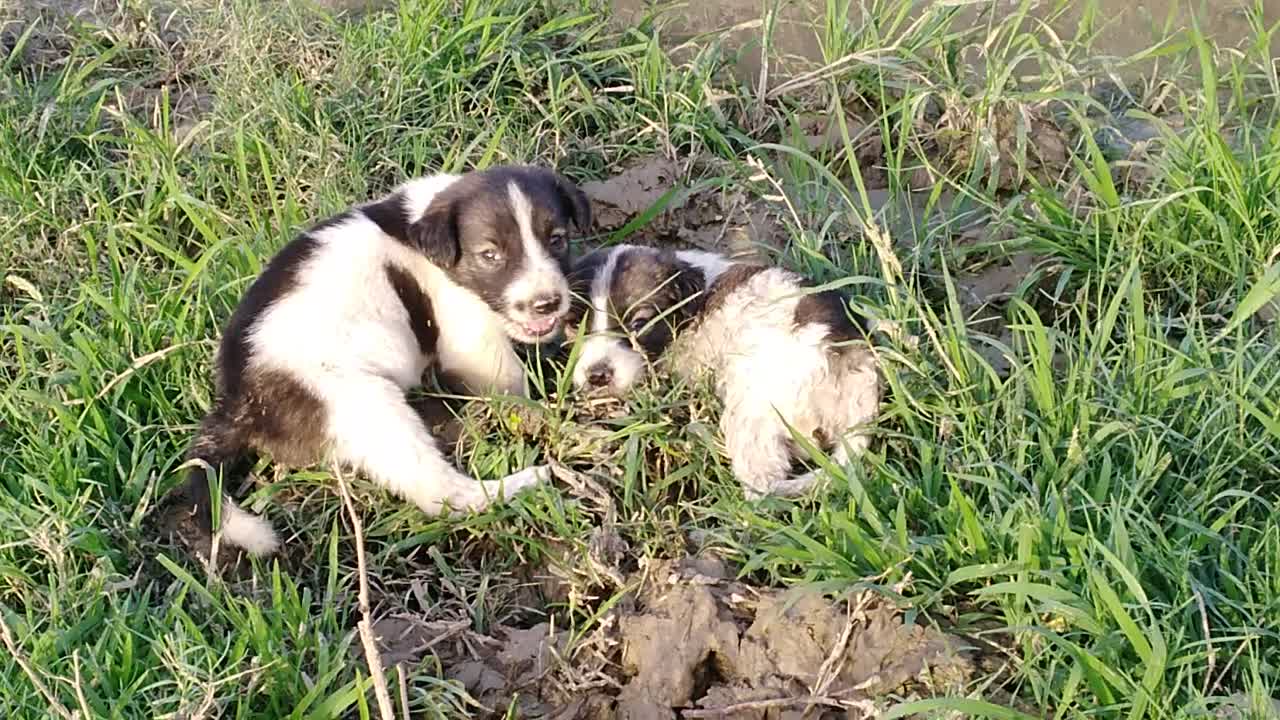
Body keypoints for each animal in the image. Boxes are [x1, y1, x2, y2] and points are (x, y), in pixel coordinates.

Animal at [154, 165, 588, 558]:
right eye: (490, 255)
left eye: (558, 240)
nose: (547, 303)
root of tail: (236, 401)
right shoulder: (472, 343)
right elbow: (512, 384)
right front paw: (544, 411)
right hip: (368, 405)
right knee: (442, 495)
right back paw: (524, 482)